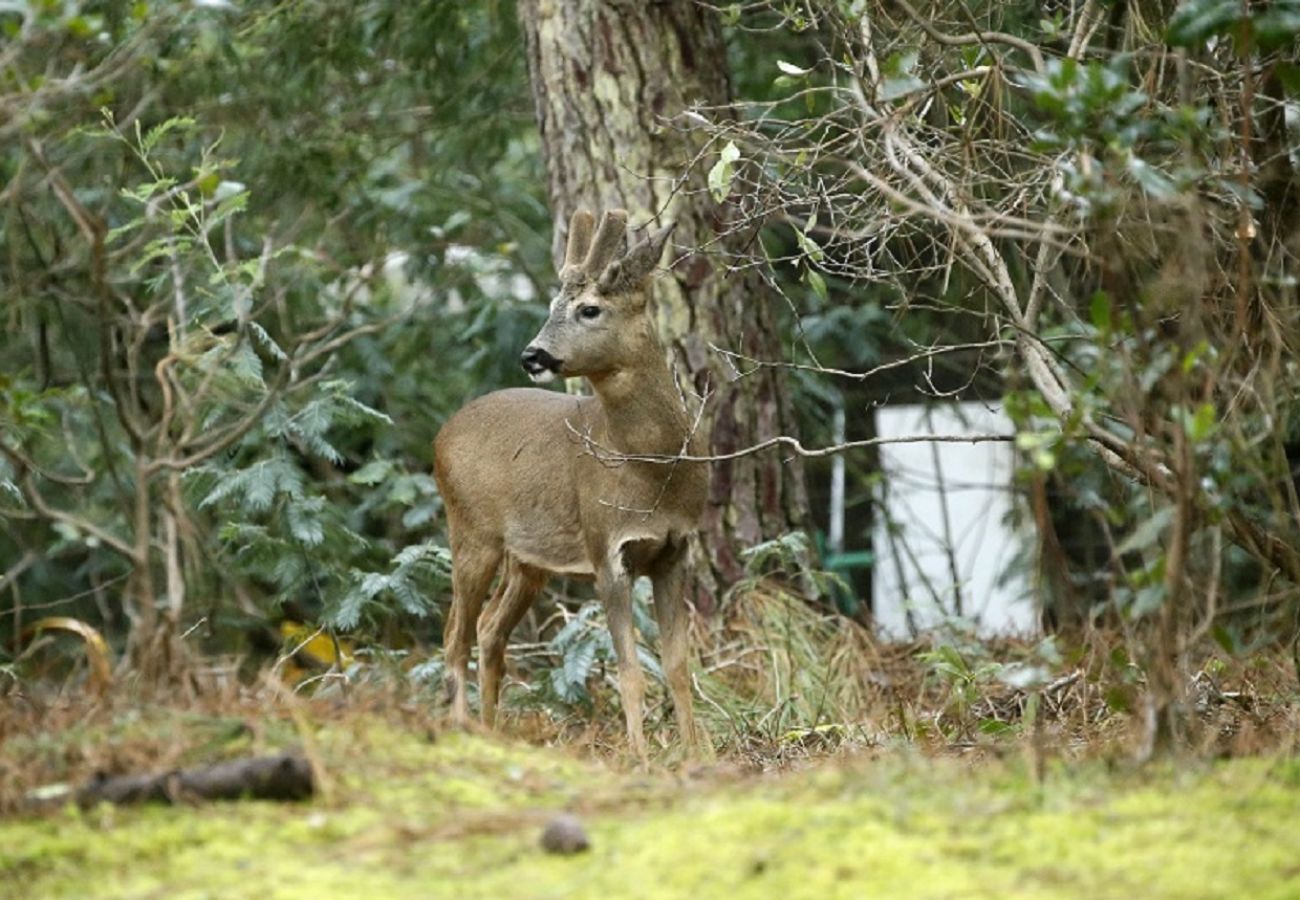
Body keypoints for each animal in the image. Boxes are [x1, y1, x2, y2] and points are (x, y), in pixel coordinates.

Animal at [431, 206, 707, 754]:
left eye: (590, 309)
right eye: (552, 305)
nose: (532, 355)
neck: (653, 470)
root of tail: (440, 436)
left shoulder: (675, 550)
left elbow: (677, 665)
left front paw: (694, 753)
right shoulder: (607, 549)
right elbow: (629, 671)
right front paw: (641, 757)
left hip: (527, 560)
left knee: (490, 631)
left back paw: (491, 729)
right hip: (471, 532)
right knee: (455, 638)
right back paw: (465, 732)